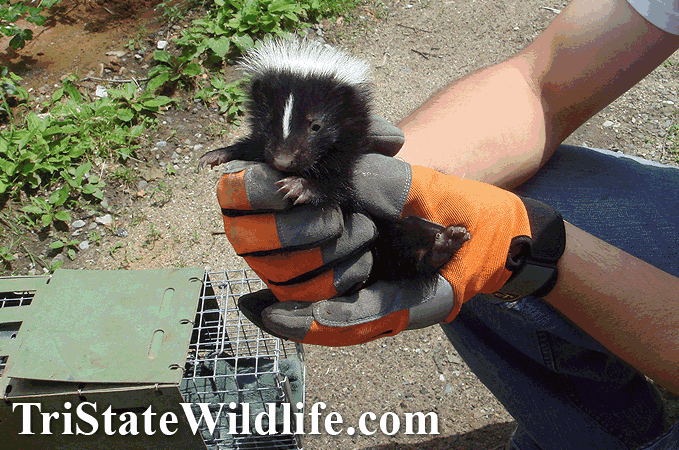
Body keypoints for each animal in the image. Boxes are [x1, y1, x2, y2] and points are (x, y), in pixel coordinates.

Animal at [199, 37, 470, 284]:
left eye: (316, 126)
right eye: (268, 122)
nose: (283, 161)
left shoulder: (353, 153)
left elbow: (342, 185)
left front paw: (301, 187)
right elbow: (252, 146)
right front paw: (216, 155)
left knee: (406, 251)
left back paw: (443, 245)